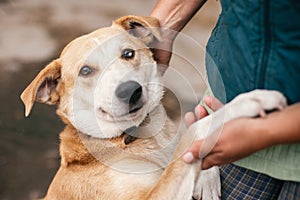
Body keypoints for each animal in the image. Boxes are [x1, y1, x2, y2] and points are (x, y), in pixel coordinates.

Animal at [19, 14, 288, 199]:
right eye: (85, 71)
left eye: (128, 54)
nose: (130, 91)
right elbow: (194, 131)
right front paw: (246, 102)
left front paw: (206, 177)